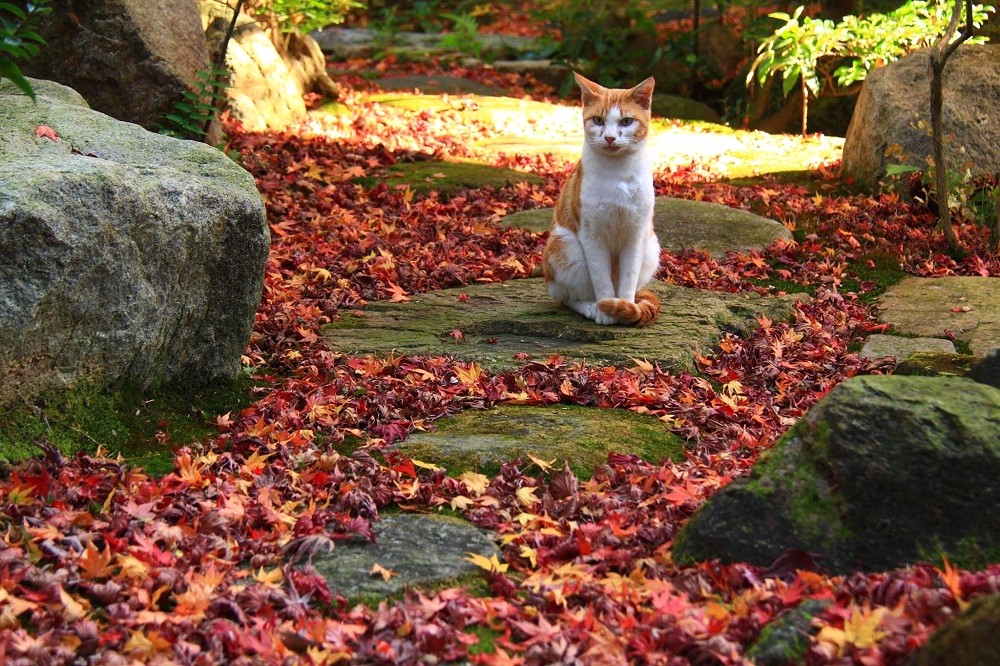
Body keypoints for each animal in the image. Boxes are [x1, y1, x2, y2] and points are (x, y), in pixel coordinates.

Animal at [544, 72, 660, 326]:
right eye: (598, 120)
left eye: (626, 122)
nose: (609, 137)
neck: (618, 174)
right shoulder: (591, 234)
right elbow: (601, 279)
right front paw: (607, 309)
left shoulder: (636, 233)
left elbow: (629, 276)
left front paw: (625, 307)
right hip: (568, 249)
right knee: (567, 297)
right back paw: (591, 307)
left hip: (651, 247)